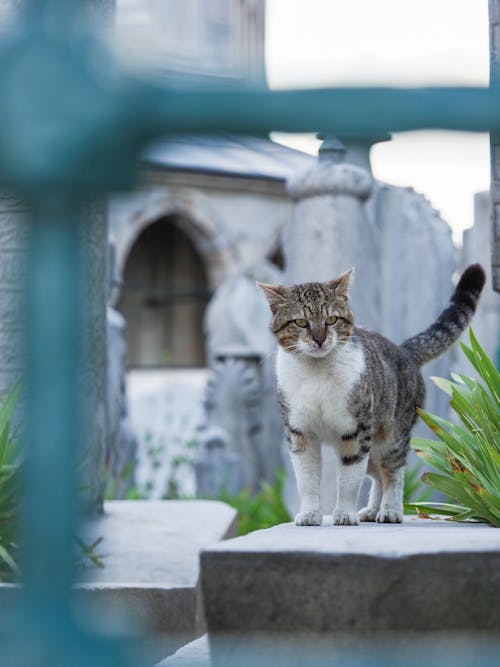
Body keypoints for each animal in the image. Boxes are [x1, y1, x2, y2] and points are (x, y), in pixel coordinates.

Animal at [260, 264, 486, 528]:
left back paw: (390, 510)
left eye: (331, 319)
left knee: (393, 472)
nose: (319, 339)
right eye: (300, 322)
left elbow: (349, 479)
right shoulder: (300, 432)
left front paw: (344, 514)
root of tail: (404, 350)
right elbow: (306, 480)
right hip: (373, 446)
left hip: (391, 438)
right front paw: (310, 514)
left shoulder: (356, 432)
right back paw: (371, 510)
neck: (317, 374)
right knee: (377, 474)